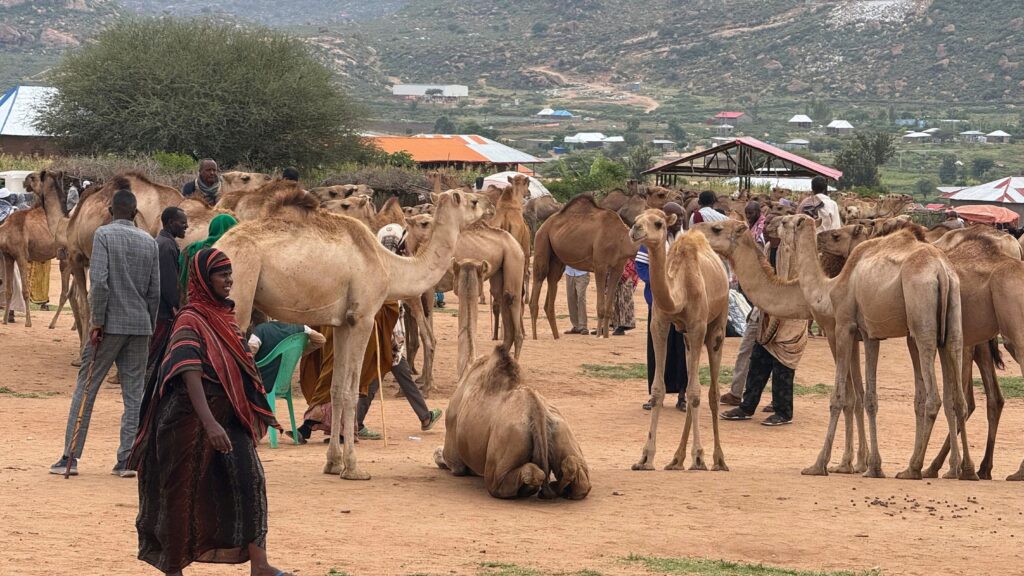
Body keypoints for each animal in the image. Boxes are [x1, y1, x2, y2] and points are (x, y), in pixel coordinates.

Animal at [215, 188, 485, 480]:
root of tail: (218, 246)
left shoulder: (343, 323)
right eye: (473, 201)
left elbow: (335, 389)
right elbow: (352, 390)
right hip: (239, 294)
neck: (388, 265)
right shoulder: (363, 318)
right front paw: (353, 468)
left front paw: (333, 463)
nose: (488, 208)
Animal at [434, 346, 591, 499]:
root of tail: (537, 411)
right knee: (573, 468)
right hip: (560, 428)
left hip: (510, 435)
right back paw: (556, 488)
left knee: (499, 481)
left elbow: (442, 456)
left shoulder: (454, 456)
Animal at [530, 195, 640, 339]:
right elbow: (601, 307)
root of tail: (543, 225)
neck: (621, 240)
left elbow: (608, 308)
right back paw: (534, 337)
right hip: (542, 240)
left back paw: (556, 337)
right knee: (539, 278)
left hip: (557, 258)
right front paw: (598, 336)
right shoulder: (600, 266)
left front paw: (606, 337)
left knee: (552, 283)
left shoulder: (618, 268)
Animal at [629, 209, 729, 471]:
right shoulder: (659, 324)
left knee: (712, 392)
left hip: (717, 326)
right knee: (692, 383)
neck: (680, 292)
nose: (635, 229)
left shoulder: (698, 326)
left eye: (658, 223)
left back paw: (718, 460)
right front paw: (645, 458)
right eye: (636, 218)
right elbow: (658, 390)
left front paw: (699, 457)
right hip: (685, 339)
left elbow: (696, 392)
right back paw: (677, 459)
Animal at [780, 214, 975, 480]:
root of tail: (942, 272)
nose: (771, 224)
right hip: (953, 320)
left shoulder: (844, 327)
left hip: (922, 320)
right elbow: (870, 398)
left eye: (785, 222)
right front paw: (873, 466)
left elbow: (839, 397)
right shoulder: (870, 333)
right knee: (956, 396)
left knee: (933, 395)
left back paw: (914, 468)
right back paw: (962, 469)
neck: (830, 289)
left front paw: (819, 465)